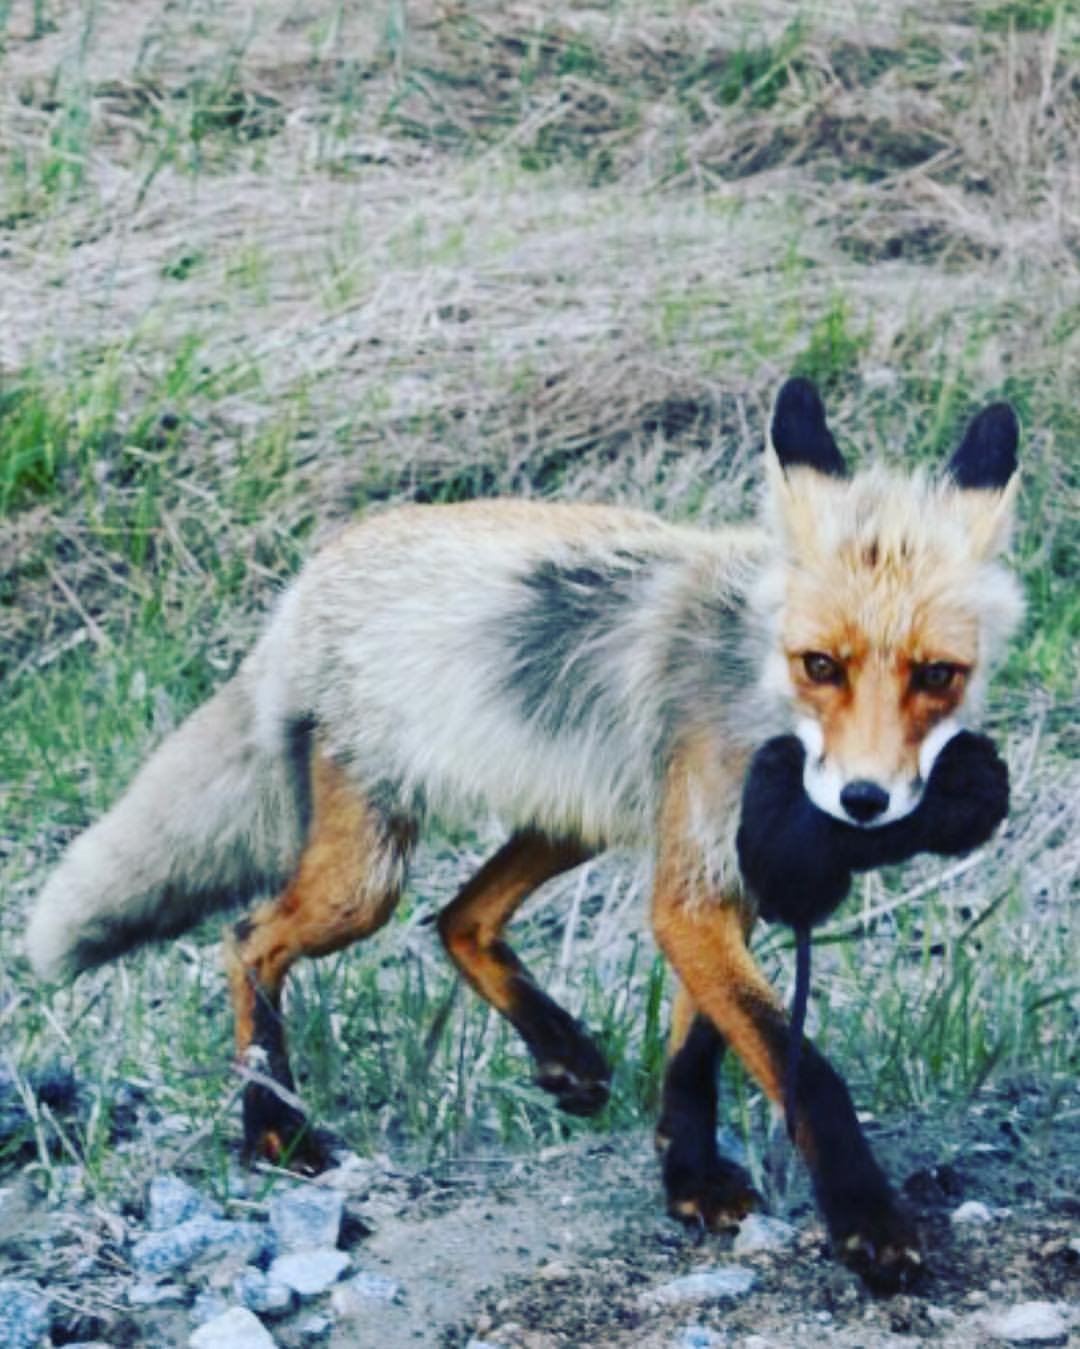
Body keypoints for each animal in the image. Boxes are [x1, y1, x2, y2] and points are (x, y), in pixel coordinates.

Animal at [26, 378, 1022, 1290]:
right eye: (821, 664)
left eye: (937, 674)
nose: (864, 801)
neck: (753, 682)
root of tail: (307, 582)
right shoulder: (694, 880)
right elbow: (801, 1068)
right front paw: (867, 1221)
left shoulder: (713, 881)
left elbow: (698, 1049)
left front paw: (689, 1175)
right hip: (367, 879)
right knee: (248, 937)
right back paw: (274, 1123)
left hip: (571, 818)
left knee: (458, 918)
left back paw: (561, 1054)